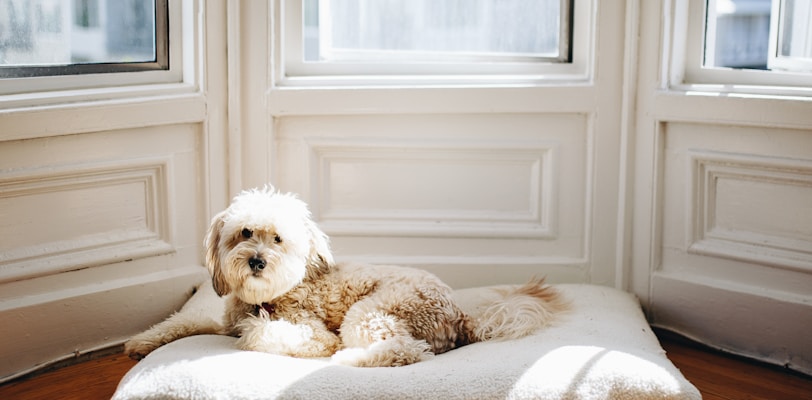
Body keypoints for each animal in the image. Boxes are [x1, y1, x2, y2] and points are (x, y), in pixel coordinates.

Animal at [128, 186, 572, 368]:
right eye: (245, 233)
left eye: (278, 239)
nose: (256, 261)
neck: (267, 297)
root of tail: (460, 316)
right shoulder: (221, 321)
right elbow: (184, 322)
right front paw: (141, 342)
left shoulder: (311, 332)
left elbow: (261, 334)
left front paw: (260, 331)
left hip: (370, 313)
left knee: (406, 351)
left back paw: (350, 358)